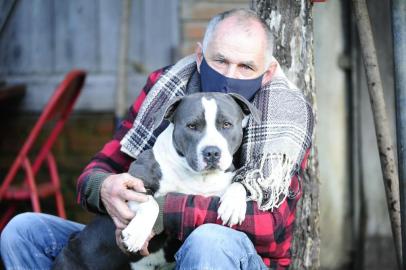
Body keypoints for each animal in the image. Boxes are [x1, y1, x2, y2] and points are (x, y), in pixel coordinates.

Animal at [52, 92, 260, 270]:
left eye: (226, 124)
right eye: (192, 126)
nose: (212, 152)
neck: (198, 177)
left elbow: (239, 184)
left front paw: (233, 206)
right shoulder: (132, 183)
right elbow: (151, 203)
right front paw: (136, 234)